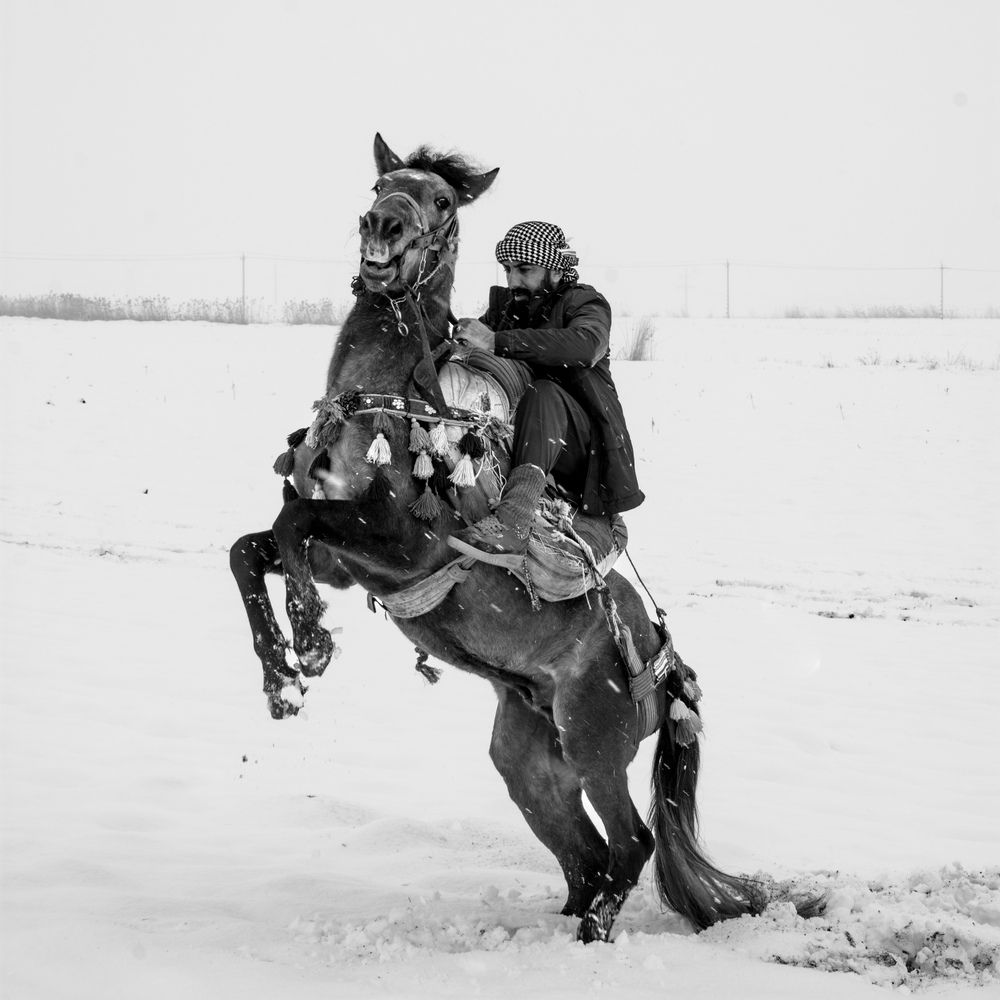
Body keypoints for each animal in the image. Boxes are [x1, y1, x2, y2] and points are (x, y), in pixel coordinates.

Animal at [230, 134, 821, 943]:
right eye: (381, 183)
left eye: (441, 200)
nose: (383, 224)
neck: (389, 401)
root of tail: (666, 666)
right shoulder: (349, 563)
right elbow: (250, 549)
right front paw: (280, 678)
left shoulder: (399, 545)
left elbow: (290, 526)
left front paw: (312, 644)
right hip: (529, 758)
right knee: (586, 853)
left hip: (594, 742)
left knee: (628, 844)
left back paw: (588, 937)